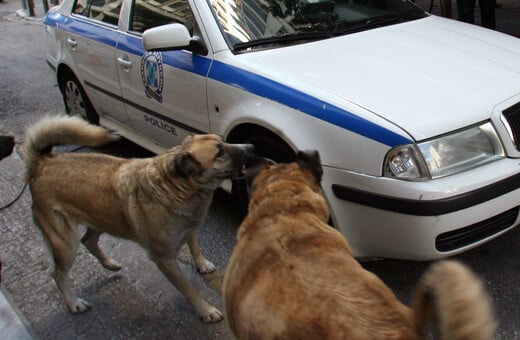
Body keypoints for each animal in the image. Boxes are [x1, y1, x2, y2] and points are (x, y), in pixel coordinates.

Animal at [23, 115, 255, 322]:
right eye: (220, 152)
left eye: (222, 140)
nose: (251, 147)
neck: (175, 186)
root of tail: (42, 163)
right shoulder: (164, 259)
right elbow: (188, 288)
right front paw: (205, 310)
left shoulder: (189, 225)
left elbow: (193, 243)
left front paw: (201, 263)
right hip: (65, 243)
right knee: (58, 273)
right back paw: (73, 303)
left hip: (102, 218)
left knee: (88, 240)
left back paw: (110, 263)